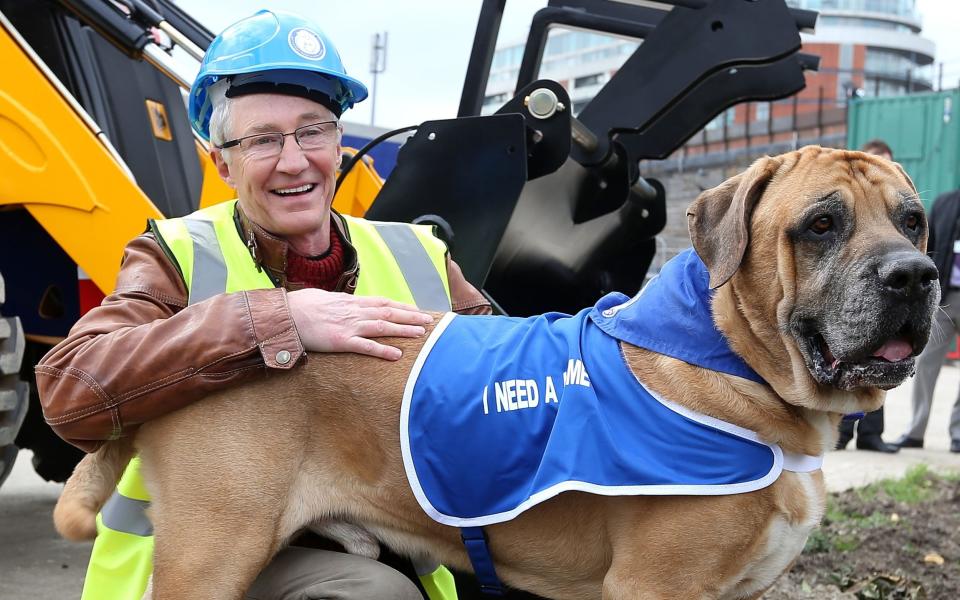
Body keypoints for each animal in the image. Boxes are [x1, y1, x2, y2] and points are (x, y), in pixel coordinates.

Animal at [54, 146, 936, 600]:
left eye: (915, 219)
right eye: (820, 224)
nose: (916, 275)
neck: (733, 360)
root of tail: (179, 336)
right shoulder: (656, 584)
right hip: (211, 554)